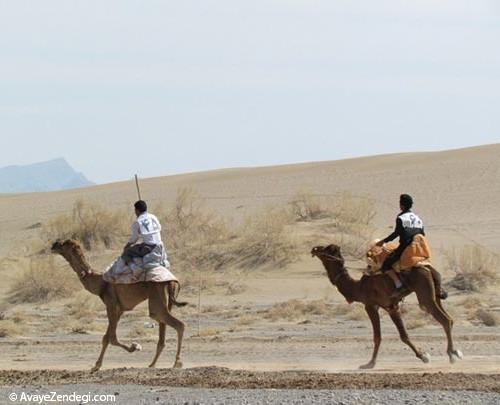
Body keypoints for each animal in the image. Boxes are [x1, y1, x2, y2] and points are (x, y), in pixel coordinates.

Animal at [50, 238, 186, 370]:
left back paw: (177, 362)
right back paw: (153, 364)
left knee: (177, 324)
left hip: (157, 297)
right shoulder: (119, 309)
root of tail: (172, 280)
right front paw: (96, 365)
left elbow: (112, 338)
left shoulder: (110, 305)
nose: (53, 245)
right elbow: (106, 337)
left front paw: (135, 346)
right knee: (163, 331)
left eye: (64, 244)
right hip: (167, 301)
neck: (100, 282)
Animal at [310, 243, 462, 370]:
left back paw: (451, 355)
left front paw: (369, 364)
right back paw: (455, 352)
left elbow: (386, 336)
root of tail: (427, 268)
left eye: (325, 249)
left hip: (425, 294)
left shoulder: (375, 306)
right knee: (449, 318)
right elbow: (391, 336)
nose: (314, 249)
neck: (359, 288)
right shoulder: (388, 306)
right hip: (435, 293)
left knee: (444, 319)